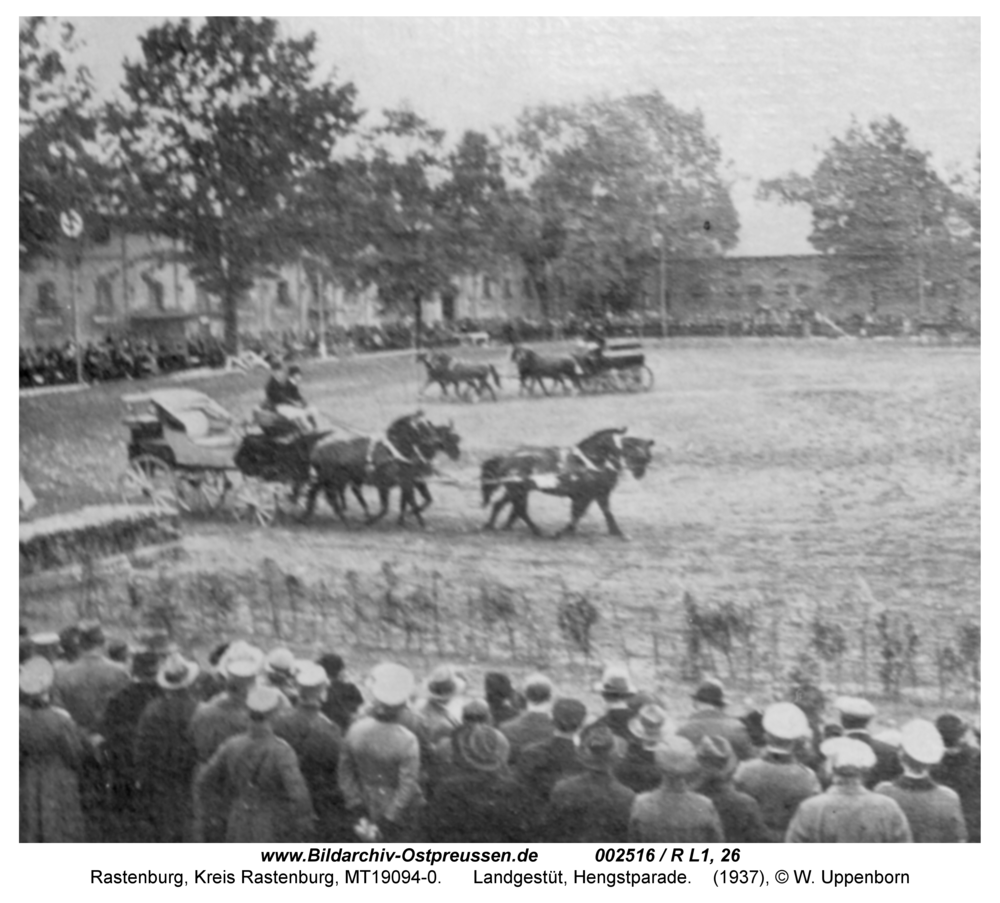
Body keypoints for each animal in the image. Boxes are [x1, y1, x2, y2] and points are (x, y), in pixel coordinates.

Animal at [304, 414, 460, 528]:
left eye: (456, 438)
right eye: (421, 427)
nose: (457, 454)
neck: (397, 453)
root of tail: (317, 451)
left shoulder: (410, 481)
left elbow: (417, 500)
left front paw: (405, 519)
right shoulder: (388, 484)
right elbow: (393, 506)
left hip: (332, 480)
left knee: (319, 493)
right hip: (333, 480)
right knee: (329, 496)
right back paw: (342, 517)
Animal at [478, 430, 652, 536]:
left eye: (647, 456)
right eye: (636, 454)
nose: (640, 473)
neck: (589, 462)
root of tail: (507, 457)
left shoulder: (598, 494)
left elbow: (604, 512)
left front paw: (617, 532)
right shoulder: (586, 495)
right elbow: (579, 513)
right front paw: (564, 531)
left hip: (517, 490)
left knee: (503, 505)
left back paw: (496, 525)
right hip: (518, 491)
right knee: (520, 510)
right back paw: (537, 531)